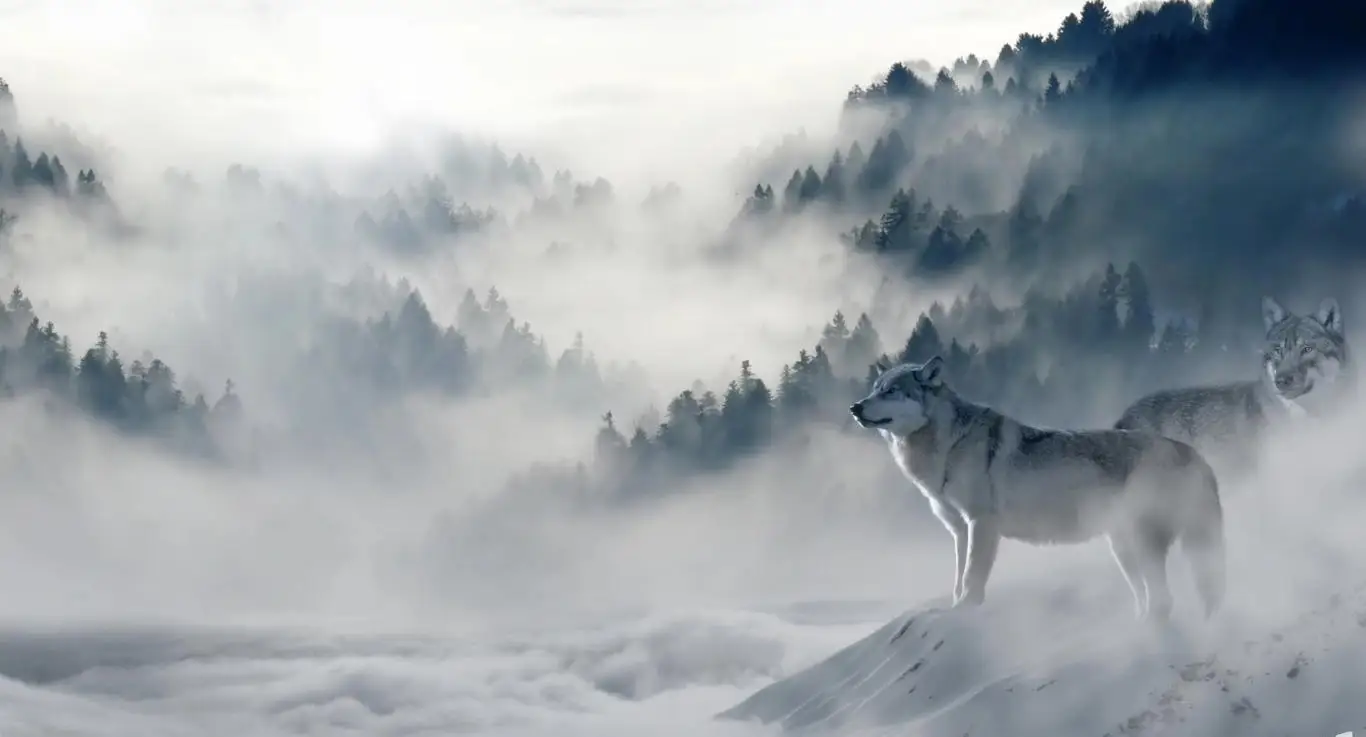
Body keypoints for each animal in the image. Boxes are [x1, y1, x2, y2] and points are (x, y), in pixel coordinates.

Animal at [850, 356, 1226, 622]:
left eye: (891, 391)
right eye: (874, 389)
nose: (855, 407)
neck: (946, 446)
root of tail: (1193, 453)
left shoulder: (981, 524)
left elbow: (972, 578)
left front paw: (966, 609)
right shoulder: (959, 530)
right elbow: (957, 578)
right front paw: (953, 608)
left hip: (1143, 544)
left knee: (1165, 600)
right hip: (1123, 549)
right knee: (1151, 598)